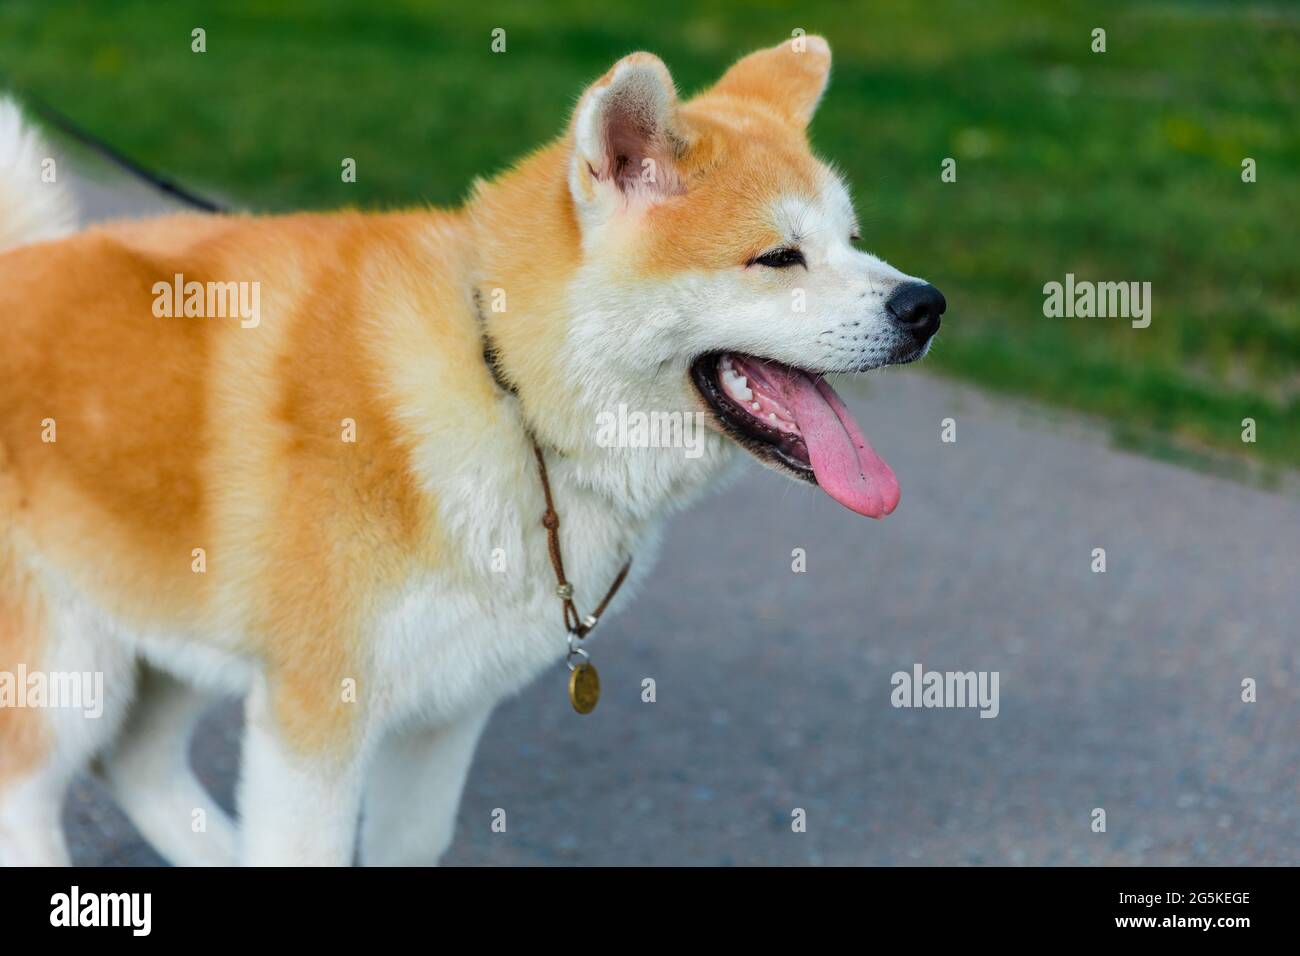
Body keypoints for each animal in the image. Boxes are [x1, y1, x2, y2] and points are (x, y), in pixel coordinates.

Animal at [5, 35, 951, 868]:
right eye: (778, 258)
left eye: (853, 239)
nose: (926, 305)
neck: (508, 390)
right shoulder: (315, 723)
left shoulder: (442, 714)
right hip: (69, 670)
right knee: (34, 801)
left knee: (135, 762)